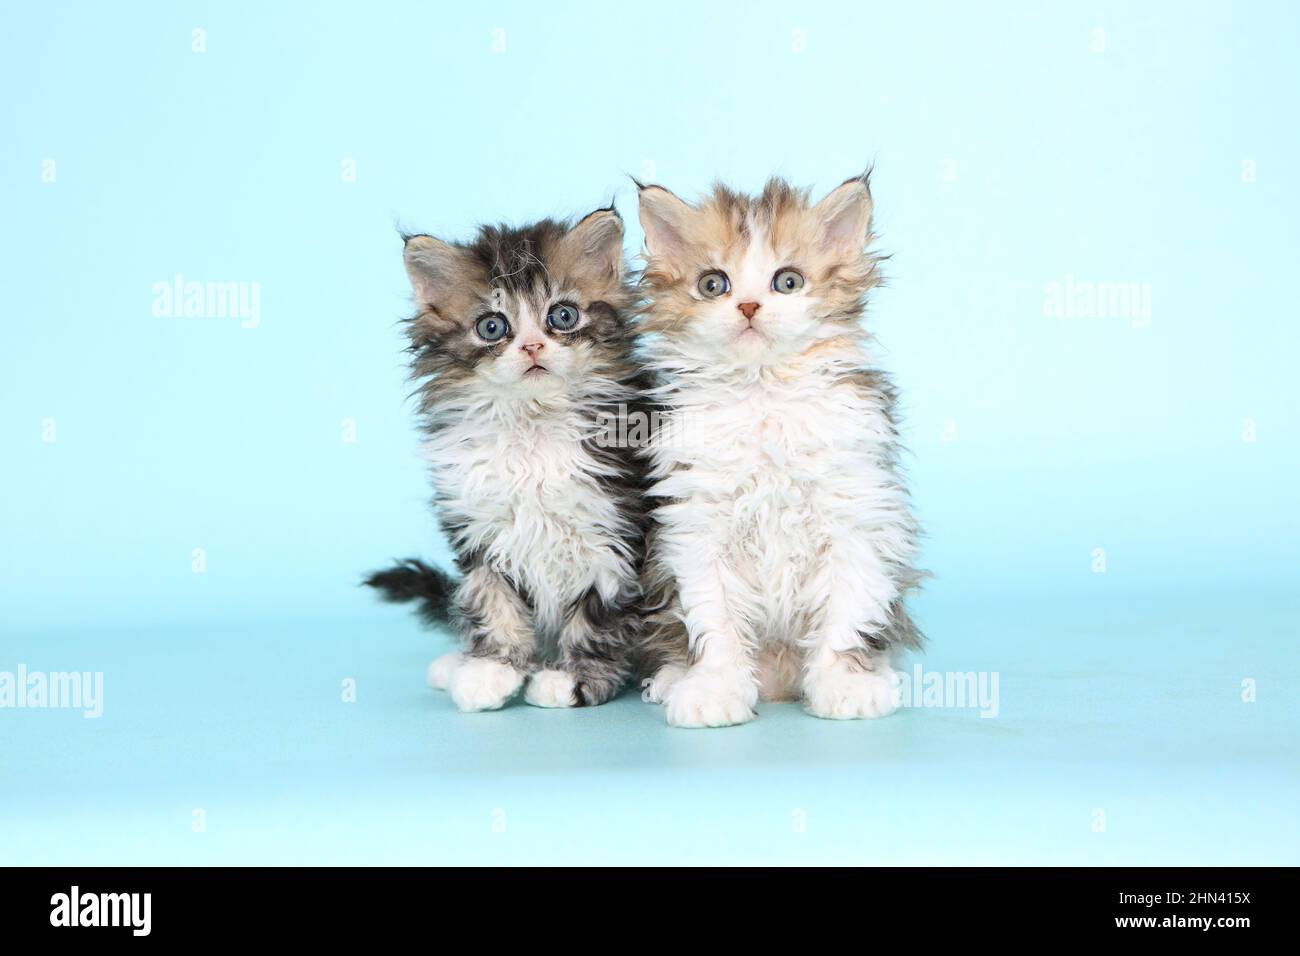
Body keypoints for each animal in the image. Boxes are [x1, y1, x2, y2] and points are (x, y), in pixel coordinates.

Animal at [366, 210, 650, 717]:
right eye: (492, 327)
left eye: (562, 316)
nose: (533, 347)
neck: (531, 427)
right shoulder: (481, 531)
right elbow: (490, 600)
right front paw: (490, 670)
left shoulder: (615, 534)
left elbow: (595, 617)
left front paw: (573, 678)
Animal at [637, 175, 925, 728]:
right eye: (714, 284)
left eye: (787, 282)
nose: (749, 306)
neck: (763, 393)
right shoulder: (698, 528)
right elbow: (715, 623)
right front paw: (714, 689)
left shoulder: (855, 518)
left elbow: (847, 615)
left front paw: (846, 683)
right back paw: (673, 677)